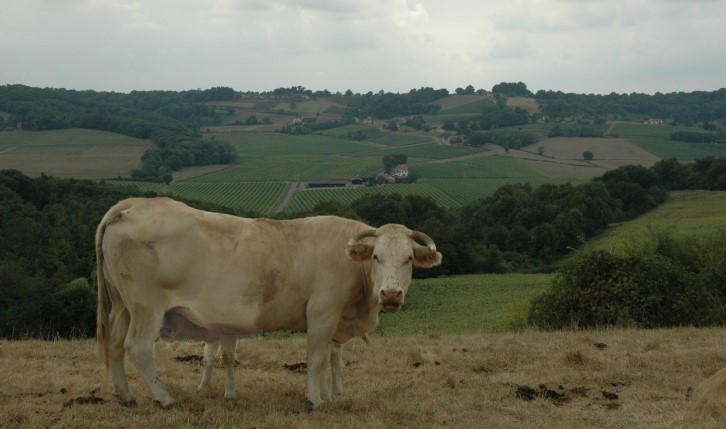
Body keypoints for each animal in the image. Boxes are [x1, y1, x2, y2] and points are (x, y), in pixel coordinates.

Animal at [96, 196, 444, 406]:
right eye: (376, 256)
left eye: (409, 259)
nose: (390, 295)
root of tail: (135, 204)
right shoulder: (322, 314)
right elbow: (317, 359)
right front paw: (315, 400)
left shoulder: (335, 323)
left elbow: (333, 360)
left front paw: (329, 395)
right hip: (147, 306)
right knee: (138, 348)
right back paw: (165, 399)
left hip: (122, 306)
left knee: (115, 346)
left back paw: (124, 395)